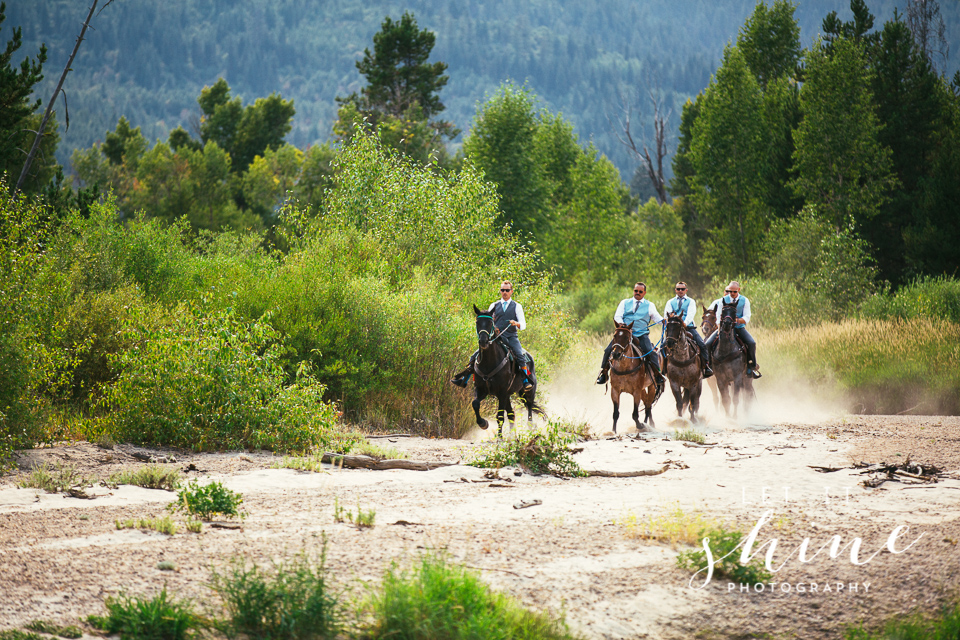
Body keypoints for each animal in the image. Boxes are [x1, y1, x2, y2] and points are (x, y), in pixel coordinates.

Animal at [468, 304, 544, 436]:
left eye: (490, 322)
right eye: (477, 322)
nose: (483, 341)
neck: (488, 363)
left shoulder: (502, 392)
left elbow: (499, 416)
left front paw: (499, 438)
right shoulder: (481, 389)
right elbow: (475, 404)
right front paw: (483, 423)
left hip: (527, 391)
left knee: (529, 408)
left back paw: (530, 427)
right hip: (509, 395)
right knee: (512, 414)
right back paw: (512, 435)